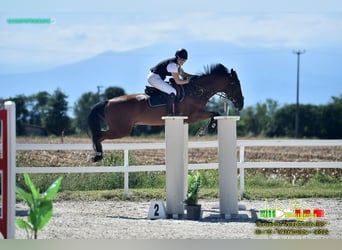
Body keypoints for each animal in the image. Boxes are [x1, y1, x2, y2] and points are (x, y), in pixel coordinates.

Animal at [88, 63, 243, 161]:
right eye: (236, 84)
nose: (241, 104)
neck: (197, 90)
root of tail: (108, 101)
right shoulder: (193, 116)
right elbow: (215, 113)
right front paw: (207, 129)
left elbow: (214, 113)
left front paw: (206, 129)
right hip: (121, 130)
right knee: (98, 135)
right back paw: (97, 156)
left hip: (120, 129)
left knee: (98, 135)